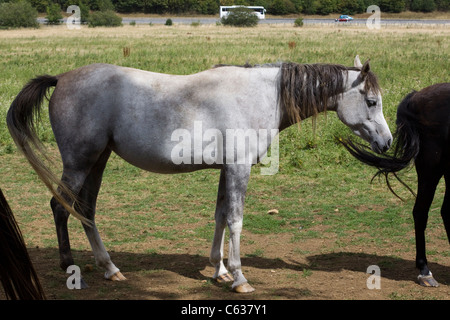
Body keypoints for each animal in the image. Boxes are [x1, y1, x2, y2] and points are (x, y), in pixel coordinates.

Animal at [8, 55, 392, 292]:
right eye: (371, 101)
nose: (388, 142)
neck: (259, 95)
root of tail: (62, 78)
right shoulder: (238, 168)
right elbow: (235, 219)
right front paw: (239, 277)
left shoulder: (227, 169)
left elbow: (220, 215)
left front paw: (219, 271)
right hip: (78, 163)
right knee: (61, 208)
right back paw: (71, 268)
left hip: (97, 162)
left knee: (85, 210)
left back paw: (110, 268)